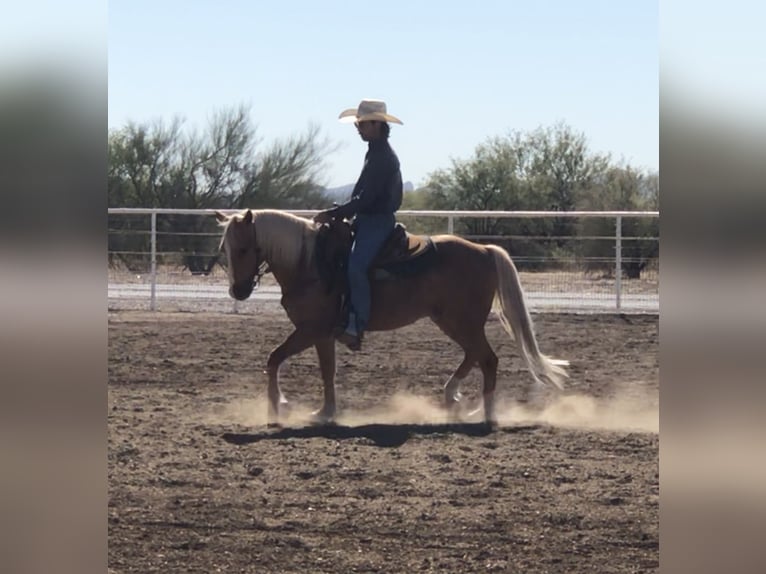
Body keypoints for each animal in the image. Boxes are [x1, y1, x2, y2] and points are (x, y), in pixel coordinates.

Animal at [213, 209, 568, 426]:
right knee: (475, 356)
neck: (309, 262)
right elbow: (326, 371)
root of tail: (485, 251)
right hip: (452, 321)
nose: (238, 291)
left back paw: (486, 413)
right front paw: (324, 412)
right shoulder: (322, 334)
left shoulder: (310, 329)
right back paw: (453, 397)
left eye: (243, 249)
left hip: (462, 321)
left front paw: (278, 407)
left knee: (488, 359)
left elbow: (274, 359)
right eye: (224, 249)